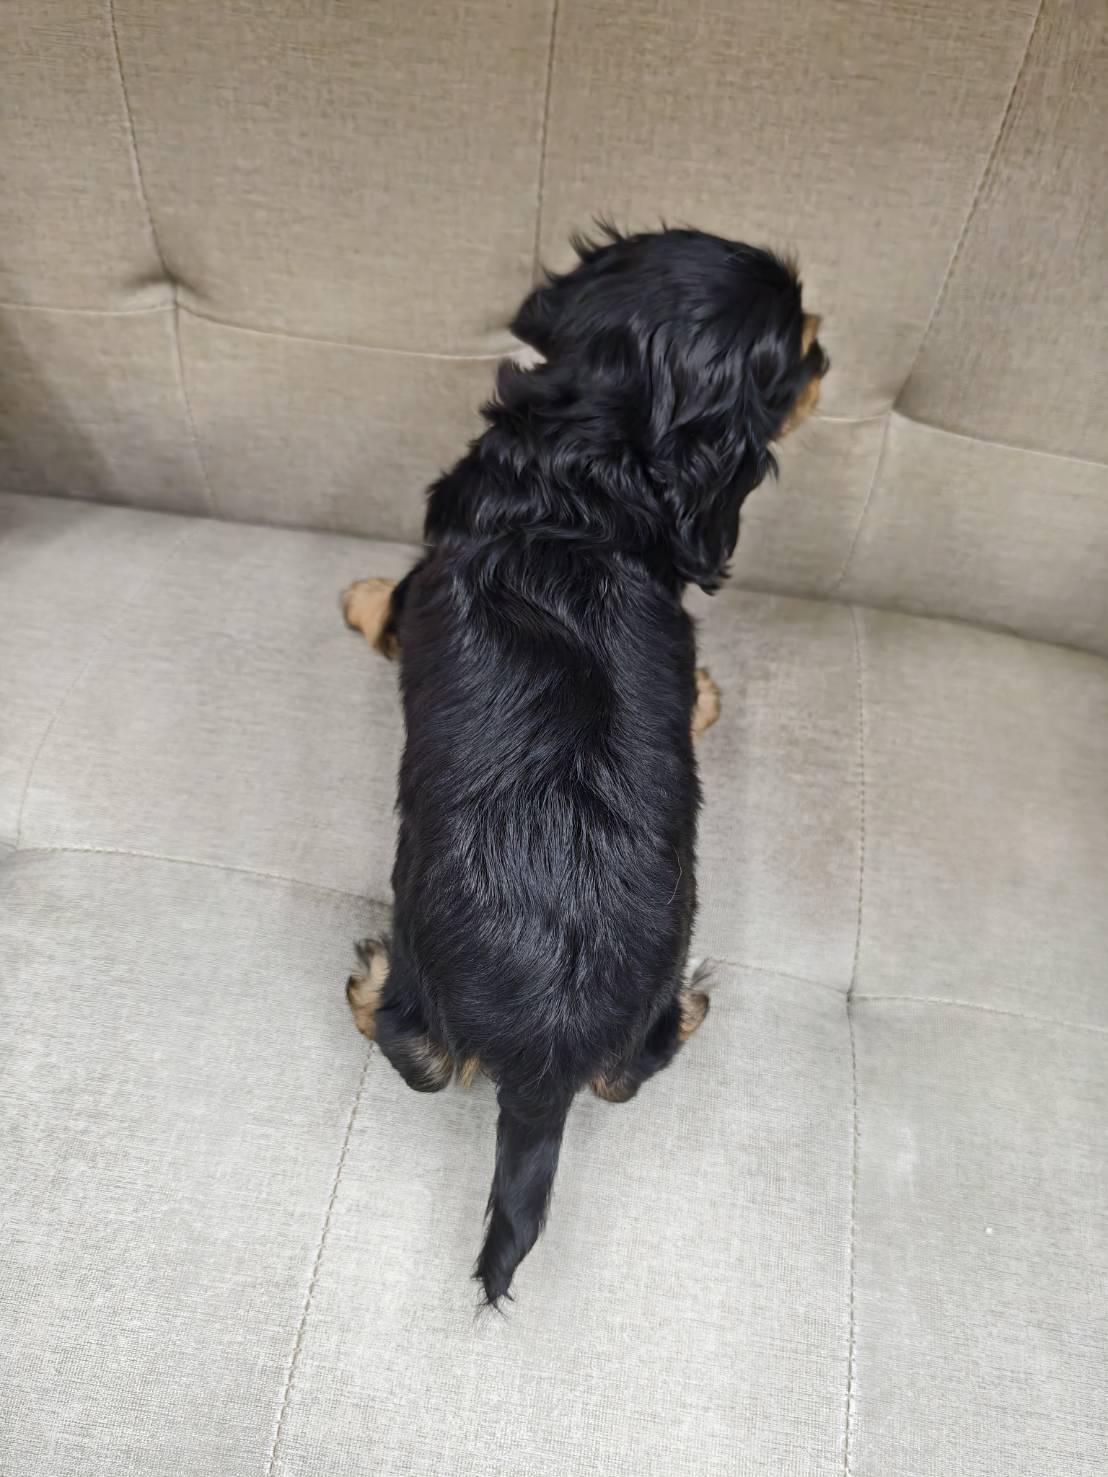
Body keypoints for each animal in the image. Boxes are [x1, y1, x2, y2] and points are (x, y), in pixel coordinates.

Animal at [342, 227, 827, 1306]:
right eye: (799, 352)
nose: (829, 356)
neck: (586, 467)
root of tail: (544, 1056)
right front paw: (704, 697)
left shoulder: (424, 578)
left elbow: (386, 602)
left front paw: (353, 594)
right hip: (627, 1021)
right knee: (626, 1066)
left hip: (420, 983)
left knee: (413, 1048)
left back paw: (362, 983)